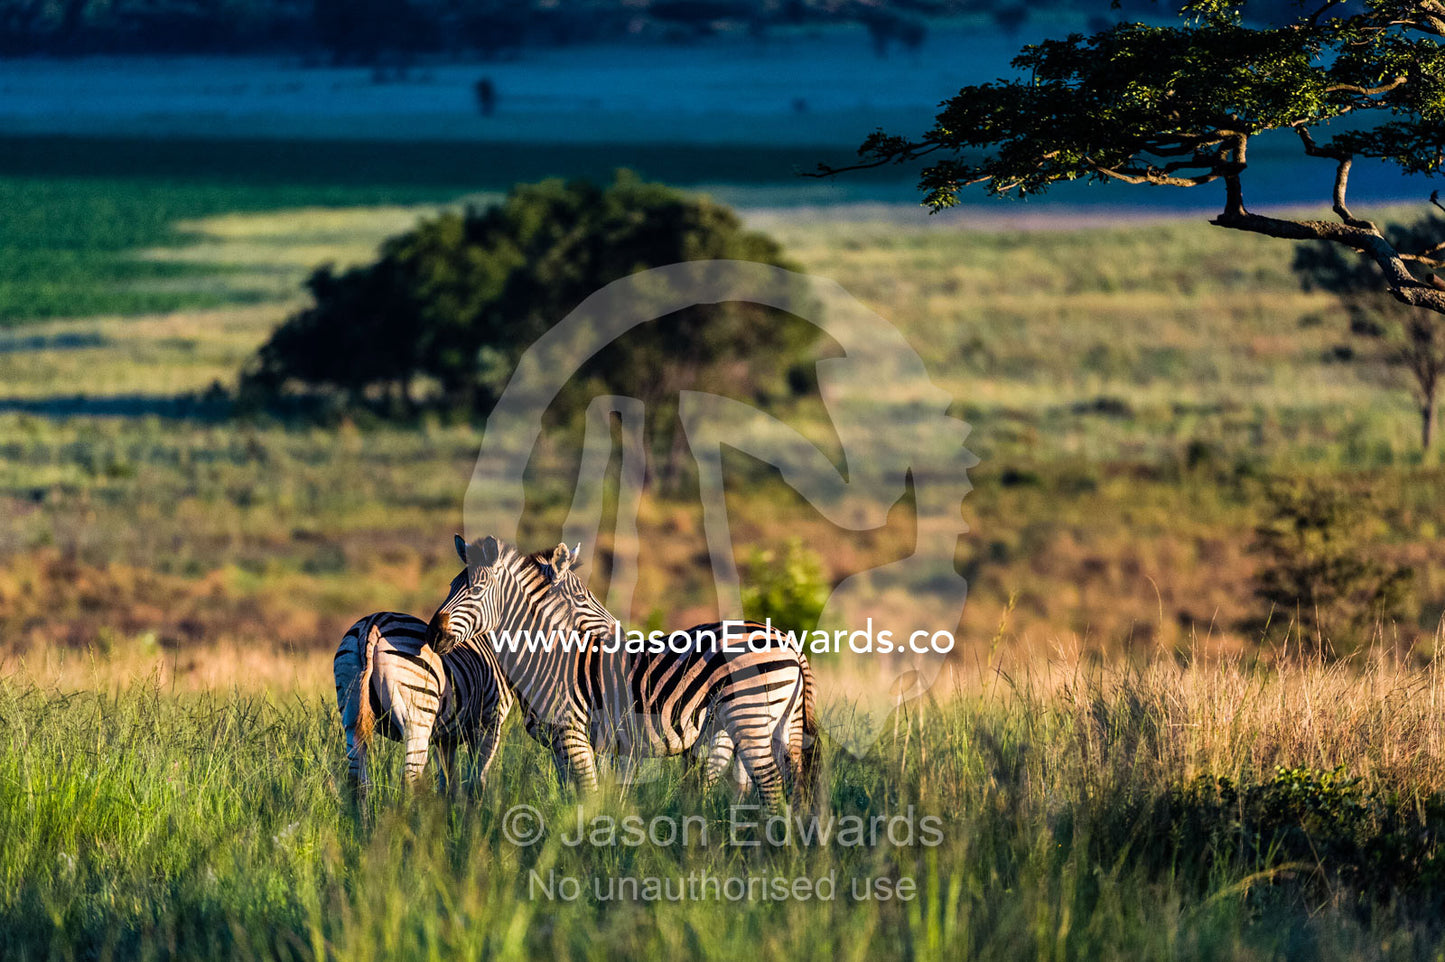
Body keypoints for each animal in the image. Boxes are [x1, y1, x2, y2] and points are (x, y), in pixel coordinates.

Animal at [333, 610, 514, 801]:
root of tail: (373, 623)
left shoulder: (446, 737)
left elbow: (447, 783)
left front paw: (448, 809)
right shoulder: (488, 723)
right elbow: (477, 781)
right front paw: (475, 809)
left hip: (350, 708)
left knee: (358, 779)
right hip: (416, 719)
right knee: (409, 778)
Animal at [425, 535, 820, 808]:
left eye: (476, 589)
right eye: (451, 587)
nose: (432, 633)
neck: (547, 656)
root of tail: (787, 639)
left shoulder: (574, 734)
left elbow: (588, 794)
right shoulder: (559, 742)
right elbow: (574, 796)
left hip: (748, 716)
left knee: (770, 785)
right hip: (771, 724)